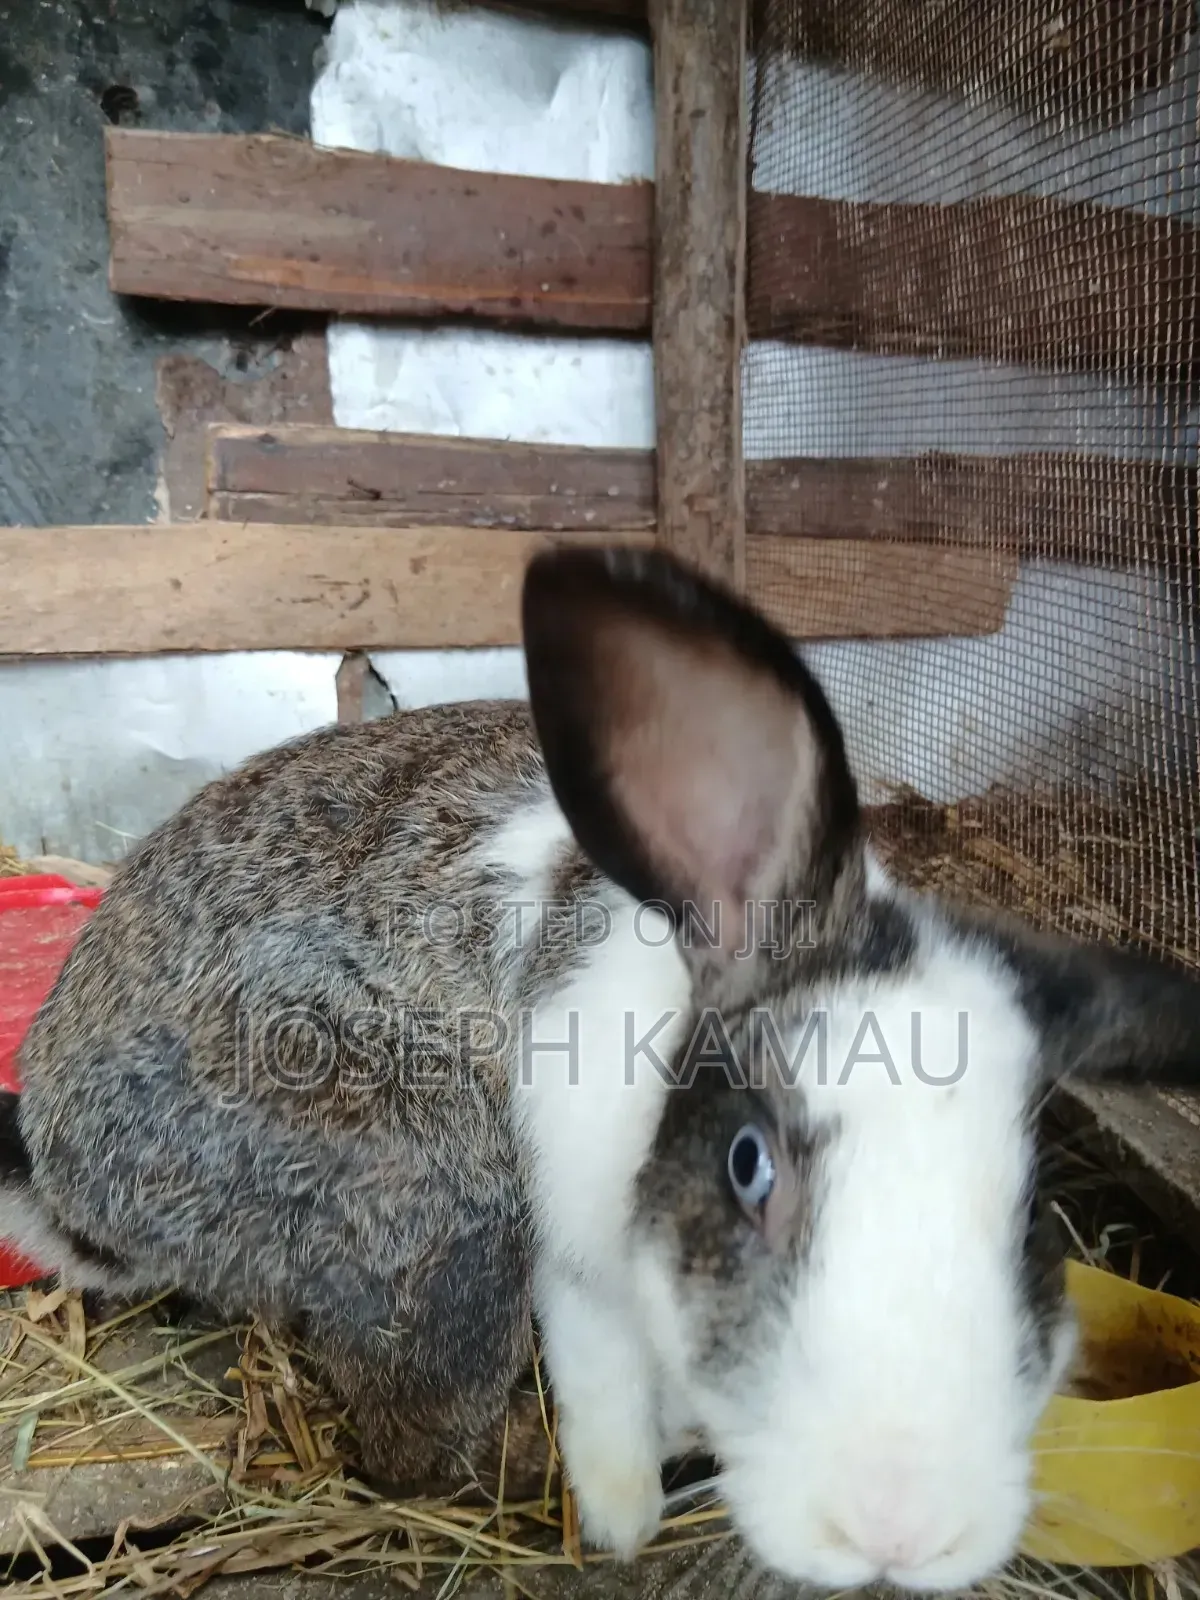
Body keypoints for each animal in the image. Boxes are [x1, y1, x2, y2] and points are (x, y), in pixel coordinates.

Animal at [3, 542, 1200, 1594]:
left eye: (1034, 1212)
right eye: (747, 1164)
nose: (899, 1527)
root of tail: (64, 1176)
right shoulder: (575, 1264)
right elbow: (604, 1393)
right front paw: (624, 1517)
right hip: (433, 1184)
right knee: (411, 1447)